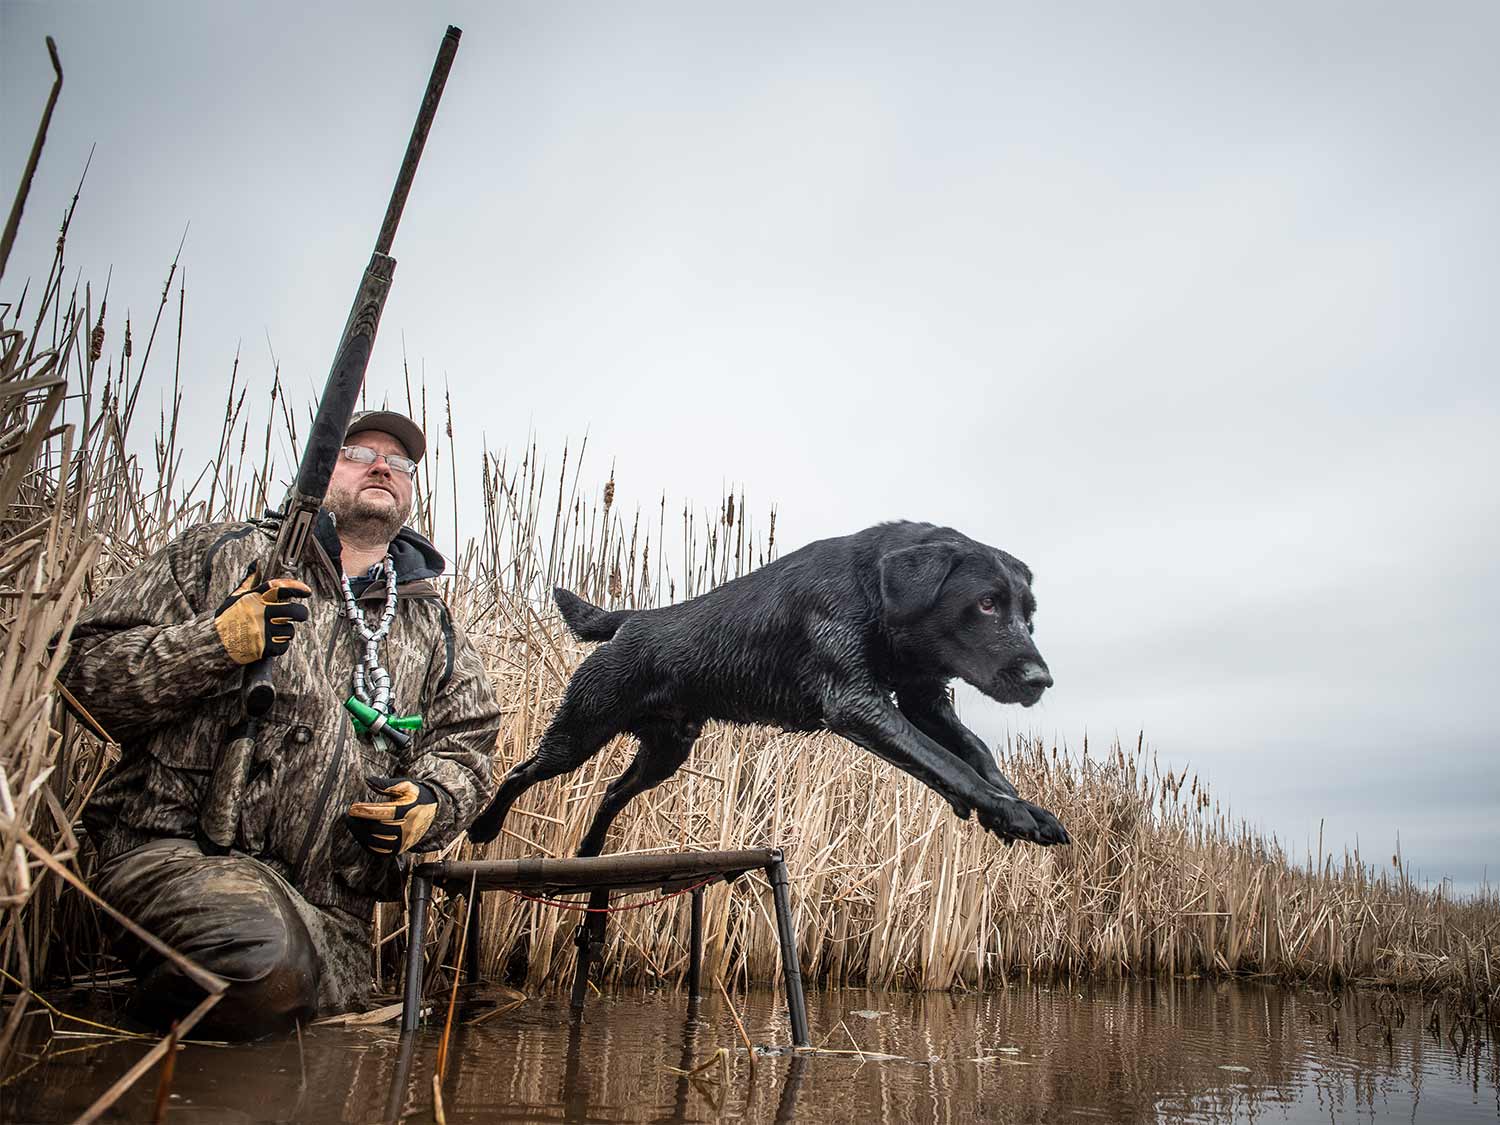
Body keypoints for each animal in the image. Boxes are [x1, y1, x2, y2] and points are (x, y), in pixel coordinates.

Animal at [468, 525, 1068, 852]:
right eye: (986, 603)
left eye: (1029, 614)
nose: (1041, 681)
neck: (872, 587)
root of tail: (632, 620)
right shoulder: (857, 704)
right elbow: (948, 764)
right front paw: (1008, 812)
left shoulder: (923, 700)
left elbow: (976, 755)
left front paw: (1020, 808)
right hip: (581, 730)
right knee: (521, 771)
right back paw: (482, 828)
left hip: (666, 751)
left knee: (612, 793)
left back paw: (590, 851)